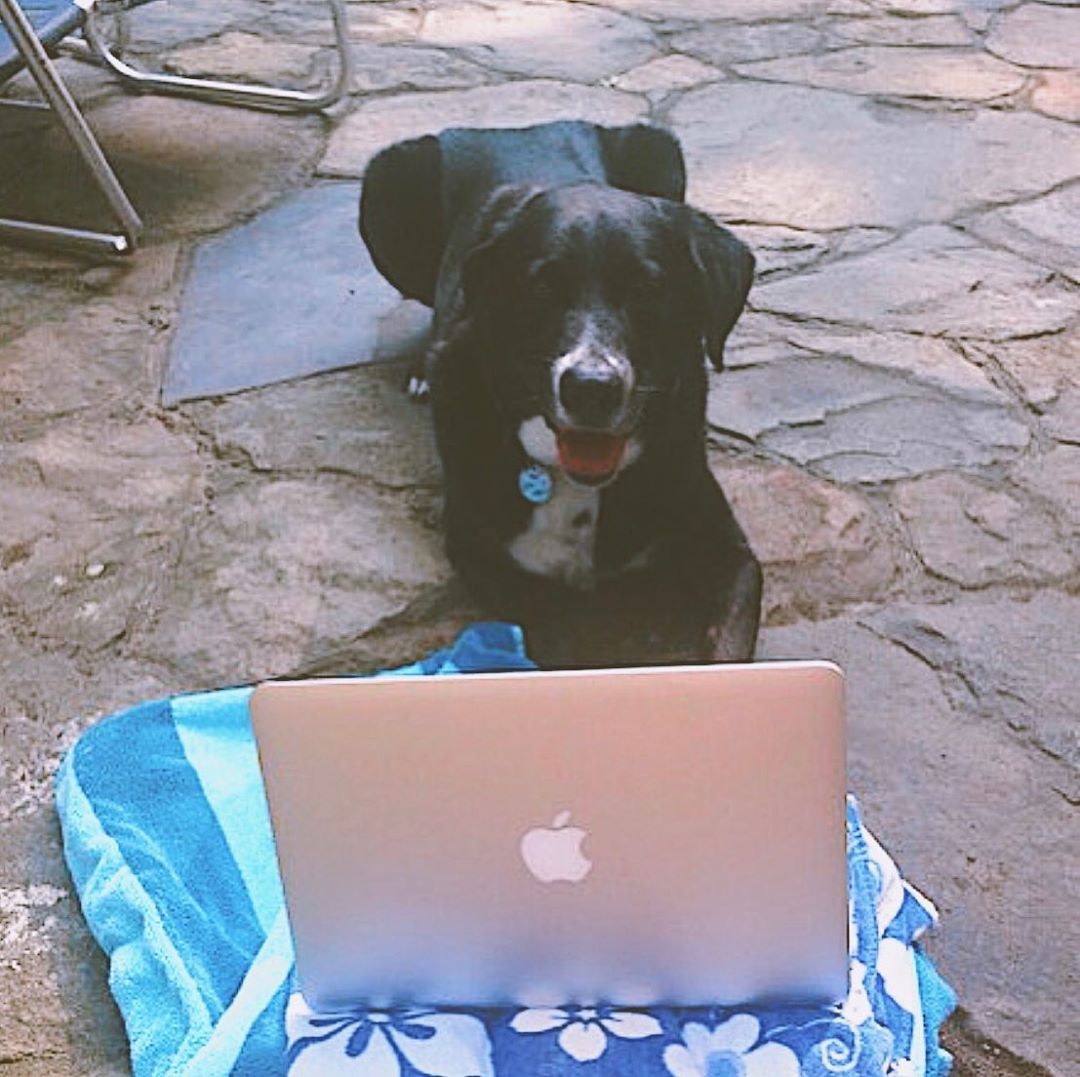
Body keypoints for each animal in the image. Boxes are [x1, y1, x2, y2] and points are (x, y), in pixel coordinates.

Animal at [360, 119, 760, 665]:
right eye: (542, 287)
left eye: (647, 289)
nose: (591, 389)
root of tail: (517, 128)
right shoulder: (484, 558)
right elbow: (549, 646)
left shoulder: (725, 546)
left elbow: (732, 641)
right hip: (386, 182)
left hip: (661, 150)